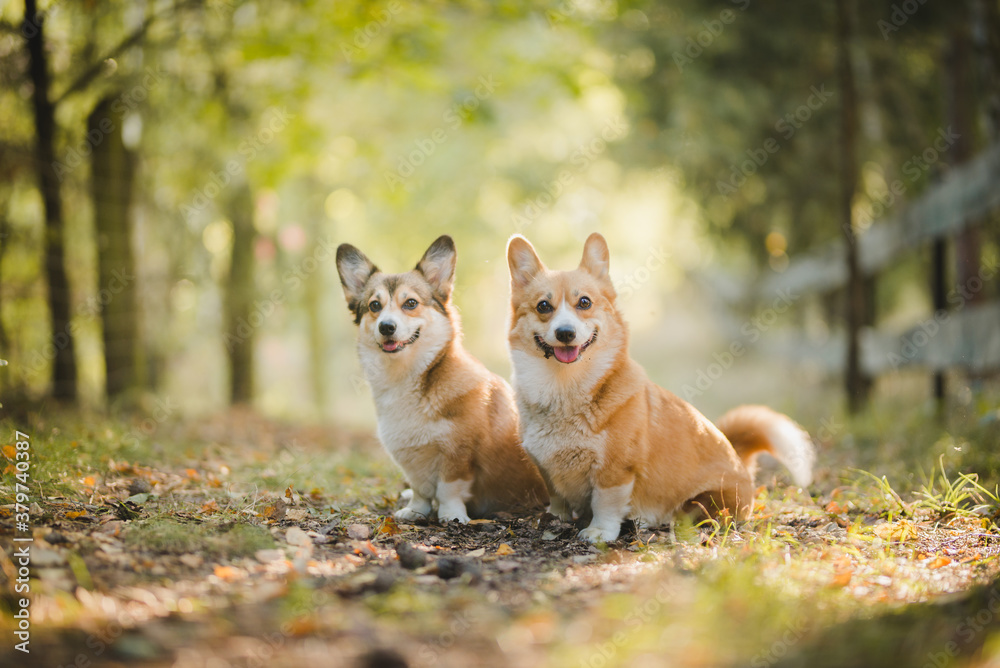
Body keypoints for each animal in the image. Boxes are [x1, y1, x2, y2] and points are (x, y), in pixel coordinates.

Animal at [336, 235, 548, 520]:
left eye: (411, 303)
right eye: (374, 306)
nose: (386, 327)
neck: (406, 376)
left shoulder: (457, 454)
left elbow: (448, 488)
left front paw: (452, 515)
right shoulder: (412, 458)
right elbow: (420, 489)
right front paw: (415, 511)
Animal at [508, 231, 812, 544]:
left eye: (584, 302)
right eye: (543, 306)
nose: (565, 333)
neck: (564, 386)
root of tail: (740, 460)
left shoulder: (615, 469)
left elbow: (605, 502)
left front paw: (599, 531)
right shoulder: (545, 466)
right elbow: (557, 495)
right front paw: (556, 517)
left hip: (702, 502)